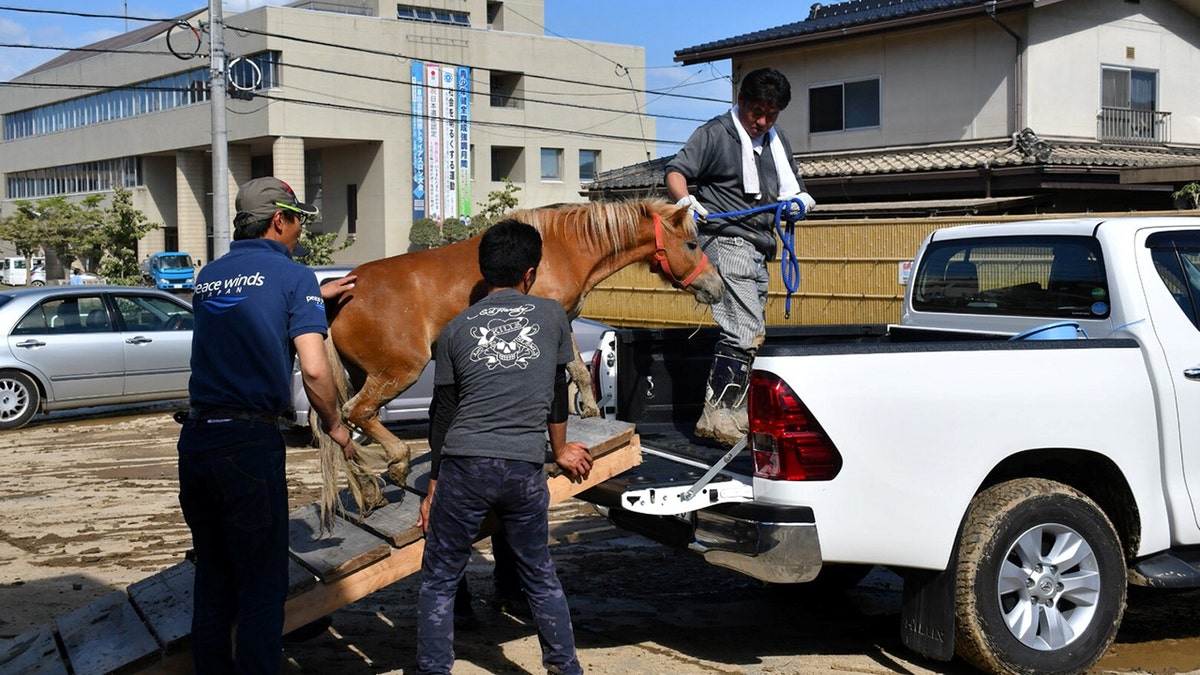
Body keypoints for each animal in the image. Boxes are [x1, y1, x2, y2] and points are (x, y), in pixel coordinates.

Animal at [321, 196, 720, 492]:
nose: (715, 287)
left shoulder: (564, 322)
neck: (563, 249)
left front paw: (591, 415)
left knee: (353, 421)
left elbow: (578, 370)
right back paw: (399, 460)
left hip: (367, 374)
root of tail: (346, 293)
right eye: (691, 244)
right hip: (399, 371)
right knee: (356, 412)